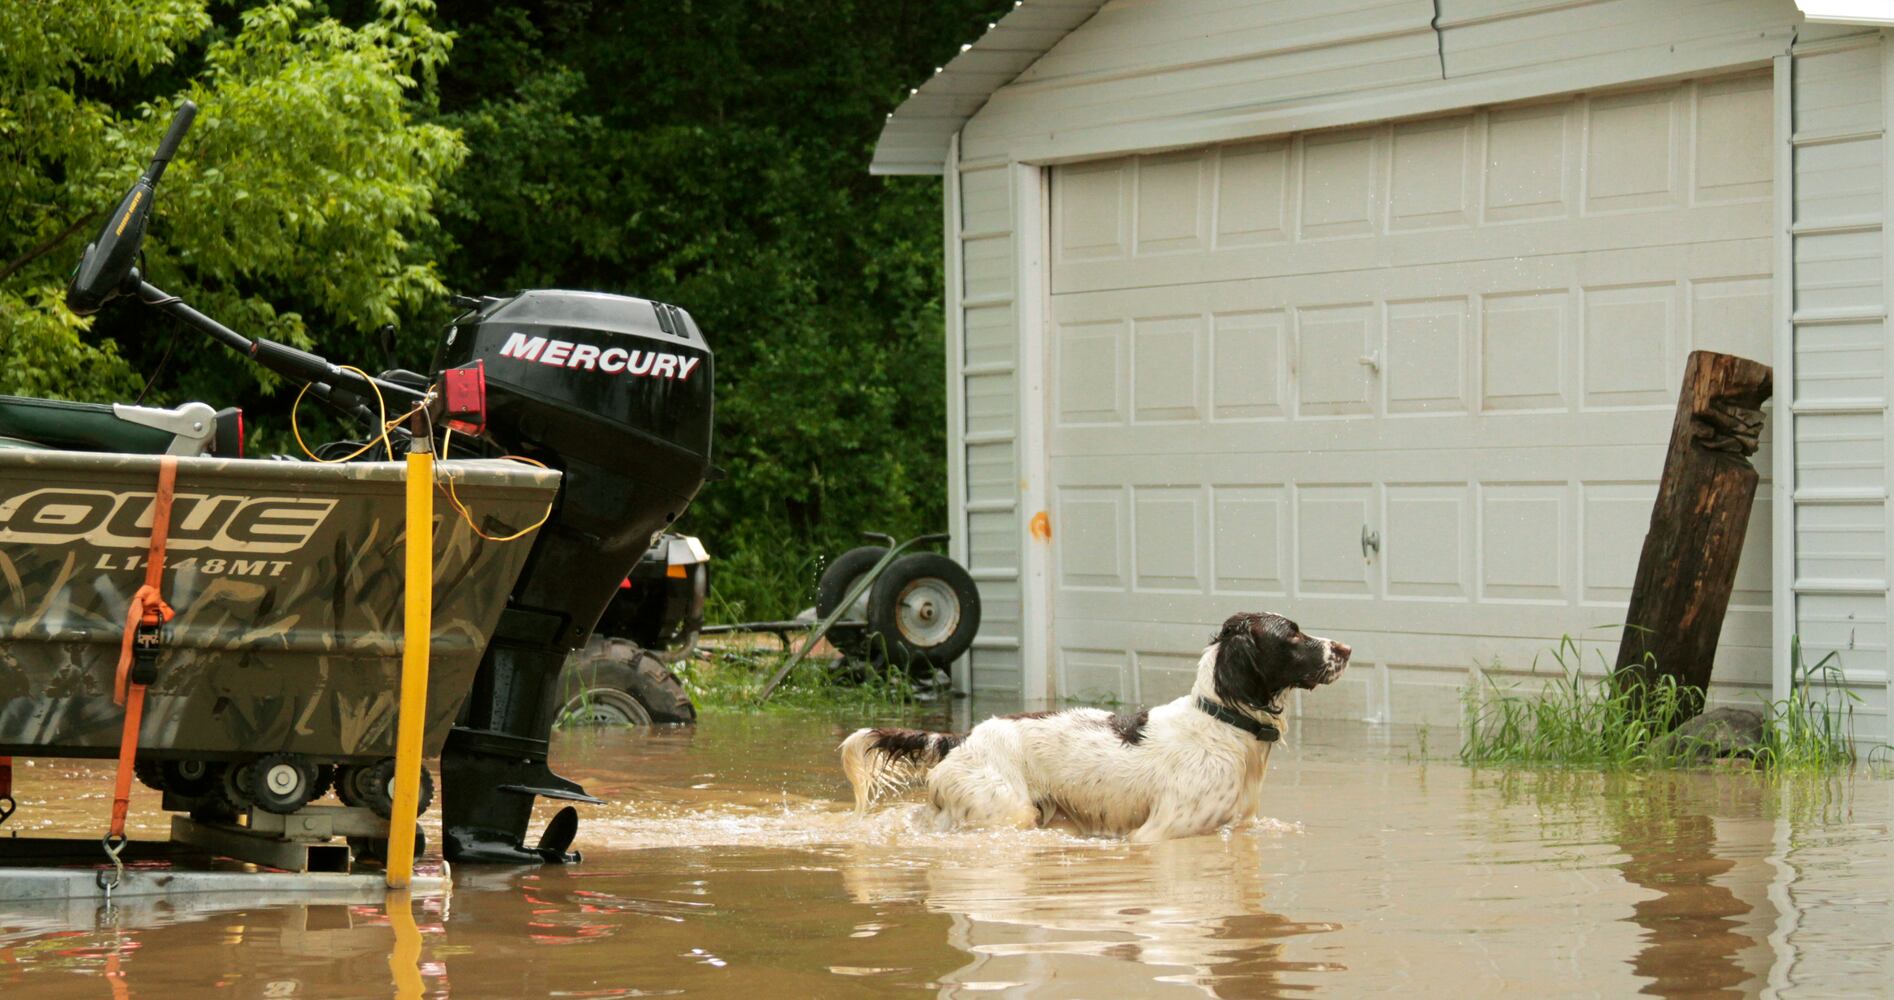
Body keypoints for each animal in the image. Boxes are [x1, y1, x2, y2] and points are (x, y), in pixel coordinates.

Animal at [840, 613, 1348, 840]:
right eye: (1293, 635)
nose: (1345, 648)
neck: (1221, 724)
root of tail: (959, 738)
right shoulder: (1157, 835)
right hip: (1007, 812)